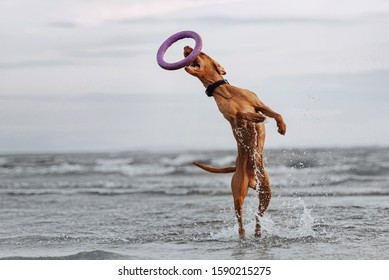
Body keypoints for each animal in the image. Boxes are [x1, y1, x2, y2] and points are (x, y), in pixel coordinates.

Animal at [182, 46, 284, 238]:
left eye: (203, 53)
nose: (186, 47)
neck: (226, 92)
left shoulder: (260, 104)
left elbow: (275, 113)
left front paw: (281, 126)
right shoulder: (234, 120)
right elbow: (242, 114)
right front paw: (255, 117)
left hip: (266, 192)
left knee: (258, 215)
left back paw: (258, 232)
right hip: (238, 193)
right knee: (240, 220)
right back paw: (244, 235)